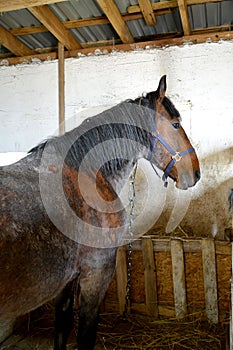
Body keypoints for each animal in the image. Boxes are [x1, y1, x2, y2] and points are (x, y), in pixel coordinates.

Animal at [0, 75, 200, 348]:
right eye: (176, 124)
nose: (196, 173)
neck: (83, 173)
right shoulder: (96, 275)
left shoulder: (67, 283)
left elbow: (62, 328)